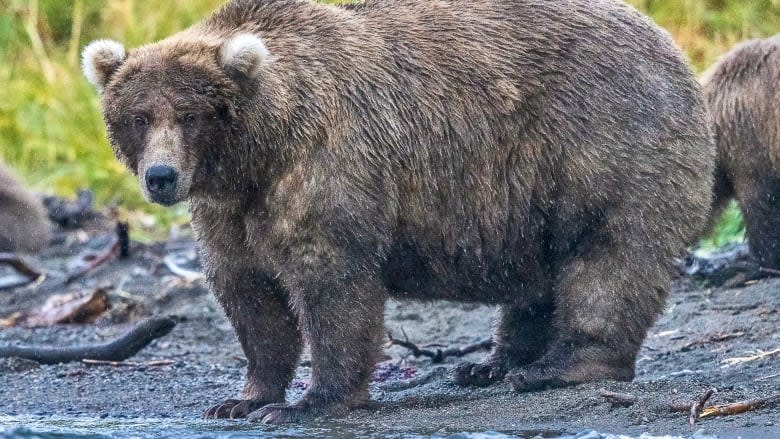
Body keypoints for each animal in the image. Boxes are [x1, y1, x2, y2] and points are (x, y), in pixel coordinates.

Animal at [84, 0, 712, 424]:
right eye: (139, 116)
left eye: (190, 115)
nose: (161, 176)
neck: (257, 154)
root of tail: (672, 47)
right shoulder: (228, 211)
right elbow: (250, 294)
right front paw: (243, 399)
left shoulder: (329, 164)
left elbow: (333, 285)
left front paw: (311, 402)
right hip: (529, 197)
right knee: (540, 274)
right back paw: (491, 363)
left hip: (602, 142)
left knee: (606, 255)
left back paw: (556, 365)